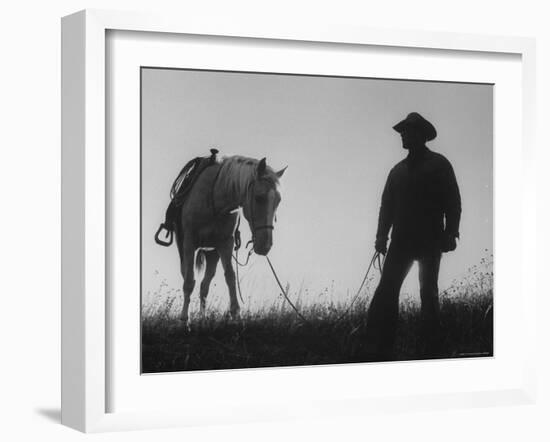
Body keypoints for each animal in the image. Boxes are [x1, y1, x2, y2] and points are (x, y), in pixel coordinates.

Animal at [164, 155, 286, 324]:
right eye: (259, 198)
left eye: (278, 201)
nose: (265, 245)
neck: (215, 198)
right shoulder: (189, 243)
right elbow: (188, 282)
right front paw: (184, 320)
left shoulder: (226, 244)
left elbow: (230, 276)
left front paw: (236, 314)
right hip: (184, 247)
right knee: (188, 277)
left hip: (212, 253)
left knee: (204, 286)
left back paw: (203, 318)